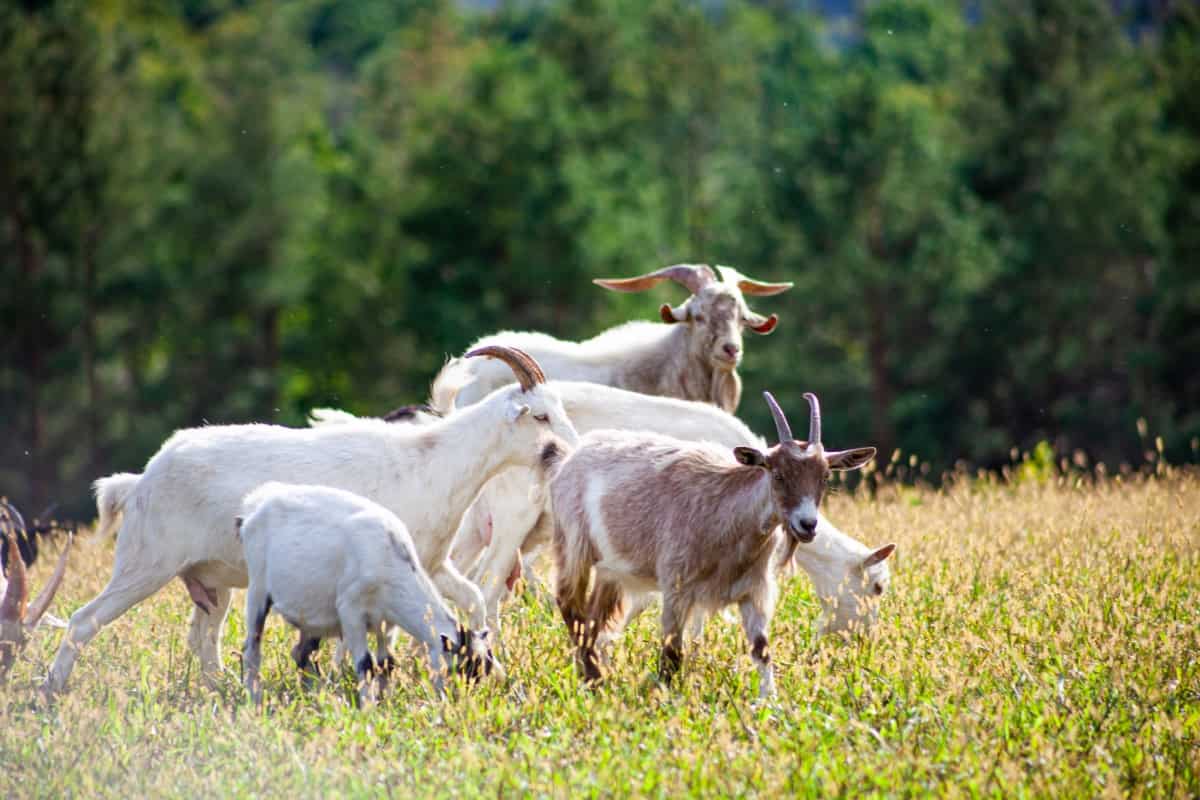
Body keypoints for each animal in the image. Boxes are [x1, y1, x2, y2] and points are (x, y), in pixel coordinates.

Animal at [239, 482, 500, 705]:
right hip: (258, 586)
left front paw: (384, 701)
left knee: (302, 653)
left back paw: (315, 694)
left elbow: (386, 663)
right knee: (251, 648)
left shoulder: (387, 622)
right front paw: (368, 709)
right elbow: (366, 664)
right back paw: (254, 697)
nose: (458, 702)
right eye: (460, 669)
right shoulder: (351, 610)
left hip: (310, 611)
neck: (391, 560)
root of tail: (253, 506)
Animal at [551, 392, 875, 697]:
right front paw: (664, 697)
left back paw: (592, 674)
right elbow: (672, 654)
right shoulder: (677, 587)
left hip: (612, 570)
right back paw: (593, 679)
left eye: (825, 476)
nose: (807, 524)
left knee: (593, 619)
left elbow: (762, 649)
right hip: (573, 544)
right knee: (570, 606)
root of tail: (572, 458)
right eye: (777, 474)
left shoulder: (752, 590)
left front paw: (769, 700)